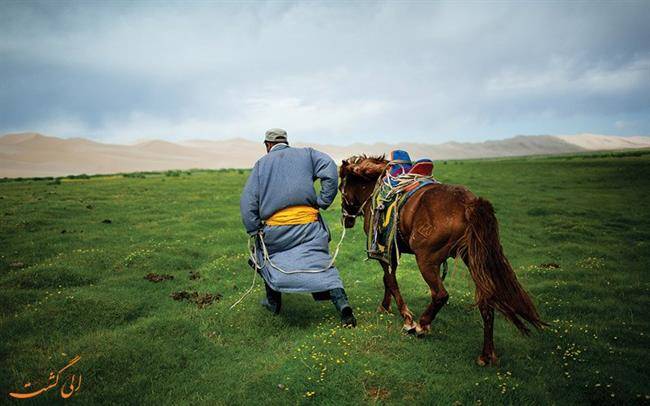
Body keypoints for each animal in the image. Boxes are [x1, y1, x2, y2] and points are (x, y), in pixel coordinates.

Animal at [336, 155, 544, 364]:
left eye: (340, 188)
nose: (346, 219)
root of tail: (469, 202)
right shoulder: (390, 252)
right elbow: (388, 280)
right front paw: (385, 307)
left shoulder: (385, 250)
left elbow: (390, 281)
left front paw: (406, 318)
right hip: (473, 259)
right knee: (487, 301)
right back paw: (486, 354)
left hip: (426, 260)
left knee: (441, 294)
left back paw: (422, 325)